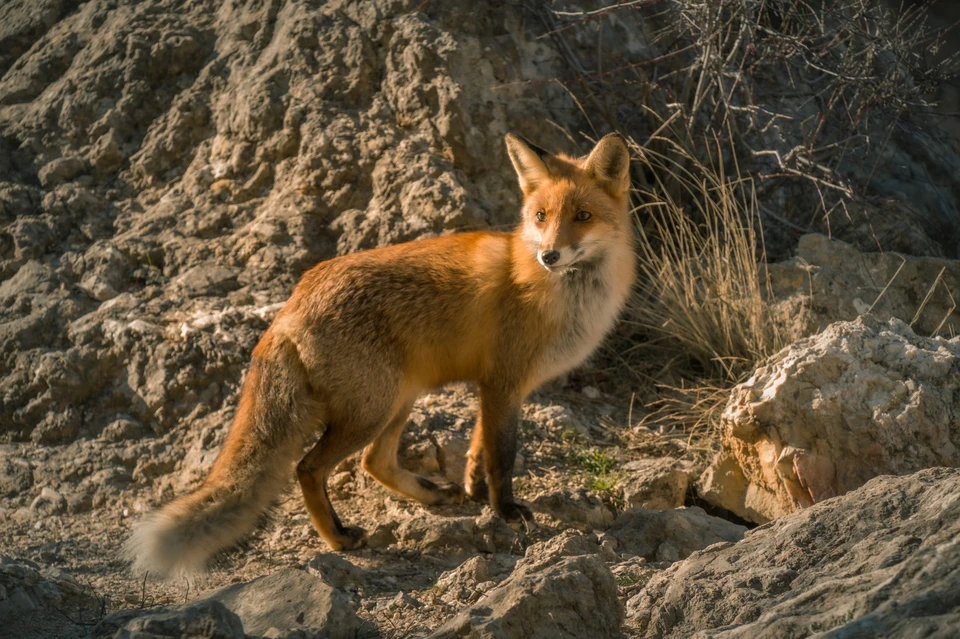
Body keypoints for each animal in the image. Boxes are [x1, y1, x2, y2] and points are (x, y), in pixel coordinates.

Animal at [125, 134, 636, 580]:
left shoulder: (492, 387)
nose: (550, 255)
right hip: (373, 408)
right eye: (541, 216)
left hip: (398, 400)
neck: (560, 294)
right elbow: (501, 458)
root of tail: (289, 306)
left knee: (376, 463)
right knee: (309, 467)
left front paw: (475, 490)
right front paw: (505, 511)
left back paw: (431, 497)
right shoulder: (504, 383)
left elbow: (477, 448)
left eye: (583, 216)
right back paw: (339, 538)